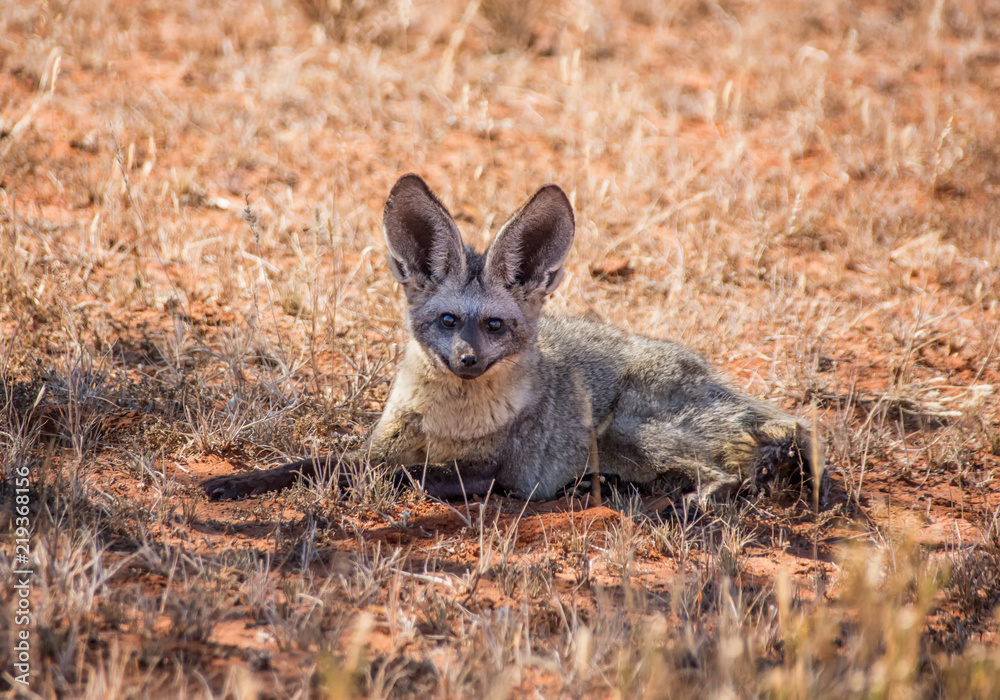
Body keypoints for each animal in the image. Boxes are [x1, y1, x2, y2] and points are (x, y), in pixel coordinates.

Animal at [201, 174, 816, 505]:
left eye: (494, 325)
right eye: (449, 321)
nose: (467, 360)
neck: (450, 421)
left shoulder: (491, 473)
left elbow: (383, 475)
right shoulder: (383, 444)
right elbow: (315, 463)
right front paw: (237, 482)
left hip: (628, 434)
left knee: (727, 480)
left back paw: (676, 505)